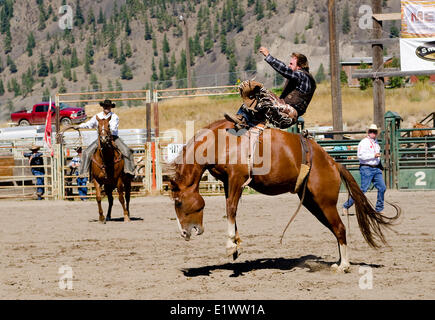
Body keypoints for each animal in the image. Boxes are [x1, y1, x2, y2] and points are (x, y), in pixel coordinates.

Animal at [170, 119, 402, 272]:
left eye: (178, 202)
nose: (184, 233)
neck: (220, 141)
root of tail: (333, 163)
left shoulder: (237, 178)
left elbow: (230, 209)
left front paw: (230, 247)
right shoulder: (229, 183)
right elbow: (232, 211)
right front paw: (236, 246)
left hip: (325, 202)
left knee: (340, 228)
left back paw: (344, 265)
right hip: (312, 203)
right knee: (336, 229)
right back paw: (339, 262)